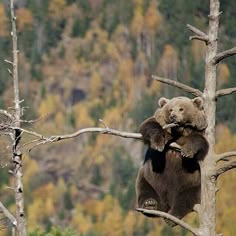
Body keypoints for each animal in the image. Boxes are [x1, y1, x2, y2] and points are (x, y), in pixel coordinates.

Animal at [136, 97, 208, 226]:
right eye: (170, 109)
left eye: (181, 108)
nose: (173, 116)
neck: (179, 131)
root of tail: (166, 205)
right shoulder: (160, 124)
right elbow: (149, 125)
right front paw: (158, 143)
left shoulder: (198, 131)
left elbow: (199, 141)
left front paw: (187, 151)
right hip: (148, 178)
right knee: (146, 190)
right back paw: (150, 204)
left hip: (194, 184)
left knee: (186, 198)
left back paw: (172, 216)